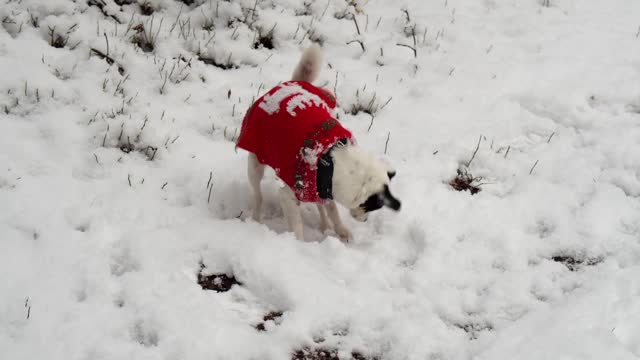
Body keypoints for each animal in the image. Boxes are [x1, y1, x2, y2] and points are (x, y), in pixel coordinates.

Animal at [235, 45, 400, 242]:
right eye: (371, 206)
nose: (365, 220)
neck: (332, 162)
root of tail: (295, 82)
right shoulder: (289, 196)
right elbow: (297, 226)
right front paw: (297, 244)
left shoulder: (322, 187)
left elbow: (333, 209)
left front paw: (340, 229)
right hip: (254, 163)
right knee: (258, 195)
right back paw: (256, 219)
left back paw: (325, 225)